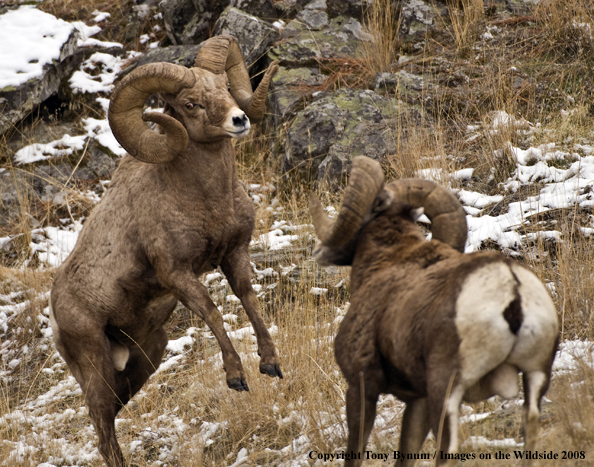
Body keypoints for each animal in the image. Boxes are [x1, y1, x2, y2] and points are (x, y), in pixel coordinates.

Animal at [49, 34, 280, 466]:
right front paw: (236, 377)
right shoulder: (177, 274)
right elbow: (212, 311)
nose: (239, 120)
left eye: (225, 87)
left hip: (145, 359)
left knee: (110, 420)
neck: (206, 198)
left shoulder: (235, 254)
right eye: (190, 104)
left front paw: (271, 364)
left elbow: (249, 299)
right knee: (103, 429)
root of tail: (54, 313)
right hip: (95, 365)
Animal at [308, 157, 556, 467]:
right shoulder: (418, 400)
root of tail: (512, 289)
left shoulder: (361, 385)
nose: (319, 251)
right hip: (535, 379)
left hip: (446, 392)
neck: (385, 262)